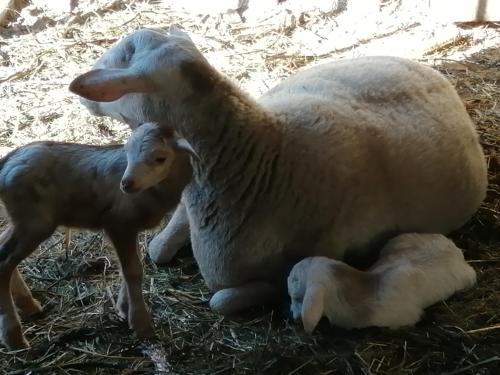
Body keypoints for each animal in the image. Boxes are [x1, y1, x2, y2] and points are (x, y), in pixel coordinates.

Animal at [0, 122, 191, 350]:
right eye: (127, 152)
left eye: (160, 158)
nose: (126, 184)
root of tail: (8, 160)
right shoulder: (119, 223)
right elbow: (133, 271)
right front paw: (141, 324)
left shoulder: (129, 227)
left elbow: (131, 268)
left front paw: (124, 308)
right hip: (34, 222)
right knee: (3, 264)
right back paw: (14, 337)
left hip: (23, 221)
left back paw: (28, 304)